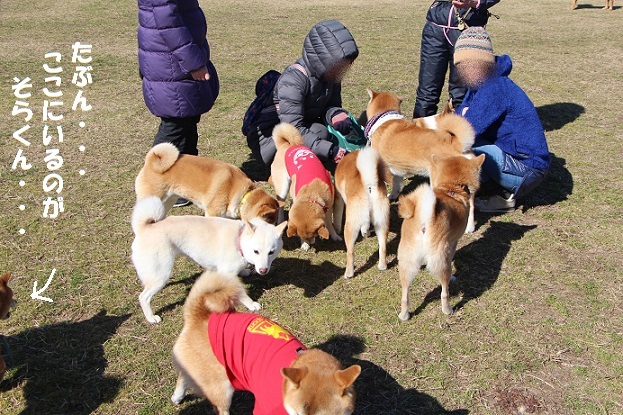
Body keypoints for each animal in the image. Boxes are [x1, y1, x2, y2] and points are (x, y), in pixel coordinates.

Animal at [133, 197, 288, 324]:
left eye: (271, 252)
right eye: (256, 251)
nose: (263, 270)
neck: (238, 240)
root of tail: (144, 227)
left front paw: (244, 271)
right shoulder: (228, 274)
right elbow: (241, 293)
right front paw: (251, 304)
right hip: (162, 273)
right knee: (143, 297)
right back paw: (151, 317)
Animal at [336, 146, 390, 280]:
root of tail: (369, 185)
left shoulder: (339, 199)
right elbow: (366, 226)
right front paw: (366, 233)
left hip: (350, 226)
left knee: (350, 252)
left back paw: (349, 273)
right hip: (382, 223)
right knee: (383, 247)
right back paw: (382, 266)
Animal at [398, 154, 486, 320]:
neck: (451, 189)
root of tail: (424, 218)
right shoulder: (452, 243)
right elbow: (452, 257)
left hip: (407, 262)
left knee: (405, 294)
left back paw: (404, 315)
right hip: (441, 261)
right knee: (444, 292)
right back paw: (448, 309)